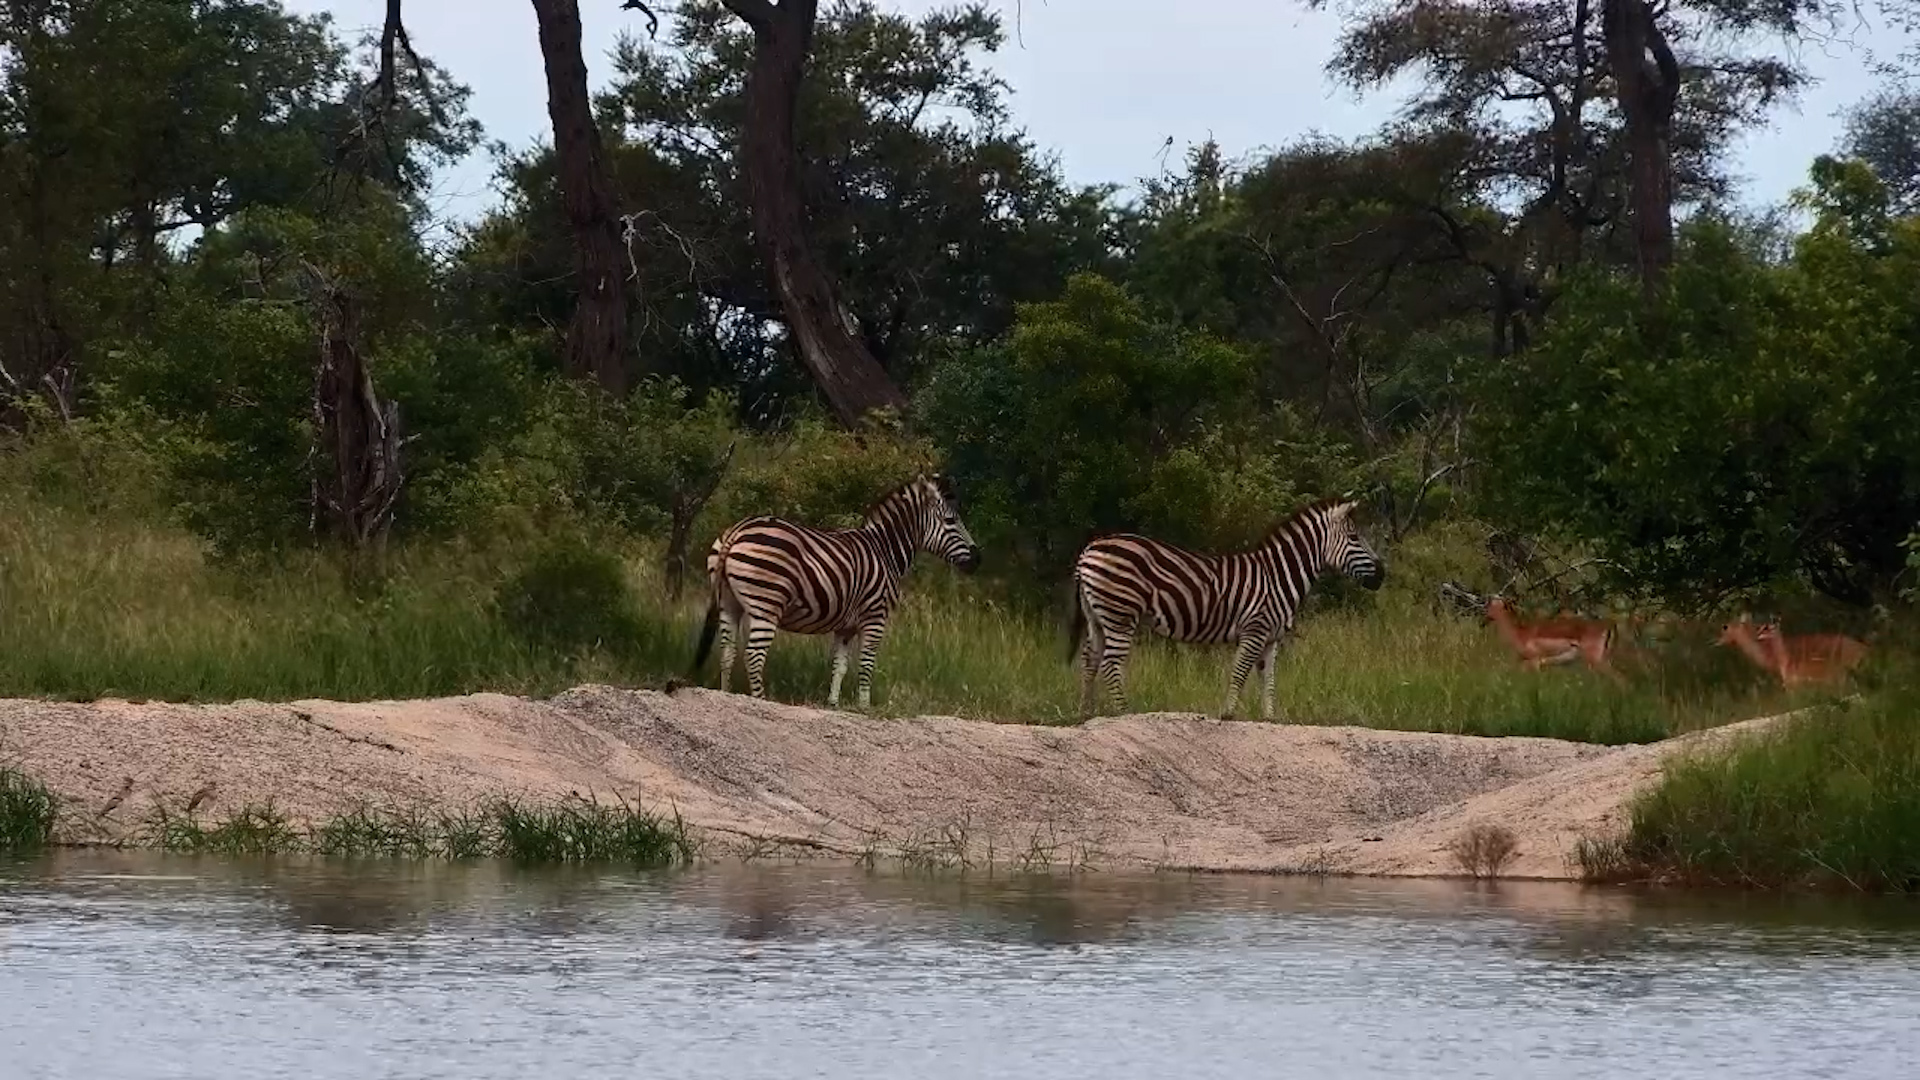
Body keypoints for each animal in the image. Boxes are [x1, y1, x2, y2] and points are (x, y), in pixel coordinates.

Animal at [692, 473, 982, 708]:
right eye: (950, 520)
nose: (978, 559)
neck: (884, 550)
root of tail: (739, 528)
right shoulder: (875, 618)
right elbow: (866, 665)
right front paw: (864, 707)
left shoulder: (846, 627)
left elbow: (839, 666)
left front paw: (833, 703)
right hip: (766, 604)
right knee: (753, 655)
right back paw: (759, 701)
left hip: (729, 604)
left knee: (727, 651)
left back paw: (726, 696)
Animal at [1068, 498, 1385, 720]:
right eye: (1355, 539)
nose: (1382, 575)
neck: (1277, 576)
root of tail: (1090, 549)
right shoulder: (1254, 630)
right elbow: (1240, 672)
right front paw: (1228, 714)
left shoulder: (1271, 639)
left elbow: (1268, 680)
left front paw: (1270, 719)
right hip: (1120, 614)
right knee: (1110, 663)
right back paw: (1125, 713)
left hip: (1098, 616)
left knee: (1090, 658)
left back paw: (1085, 713)